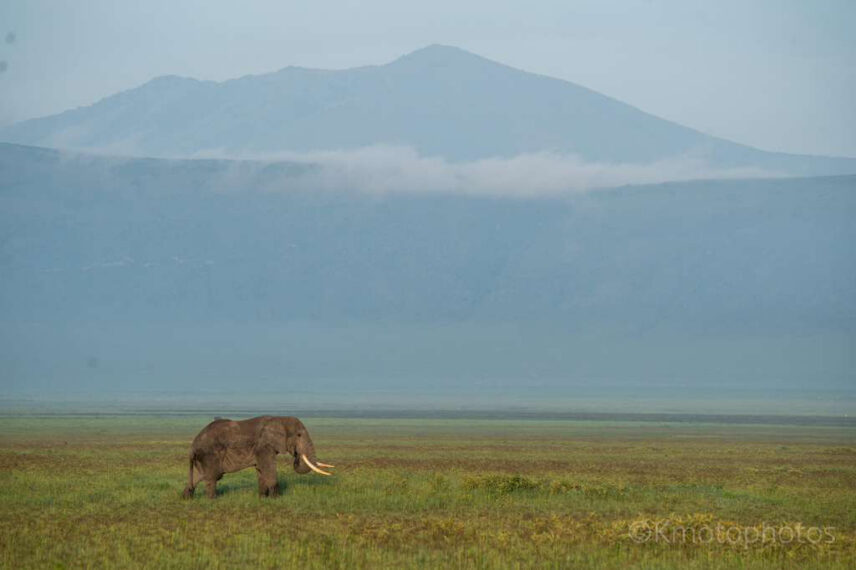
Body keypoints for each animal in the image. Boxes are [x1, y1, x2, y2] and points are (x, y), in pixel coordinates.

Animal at [182, 416, 334, 498]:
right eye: (299, 435)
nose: (296, 455)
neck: (279, 418)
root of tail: (193, 445)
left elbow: (261, 470)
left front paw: (263, 498)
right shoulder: (264, 446)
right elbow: (268, 468)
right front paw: (276, 499)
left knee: (199, 477)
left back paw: (186, 499)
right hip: (209, 454)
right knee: (212, 477)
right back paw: (212, 500)